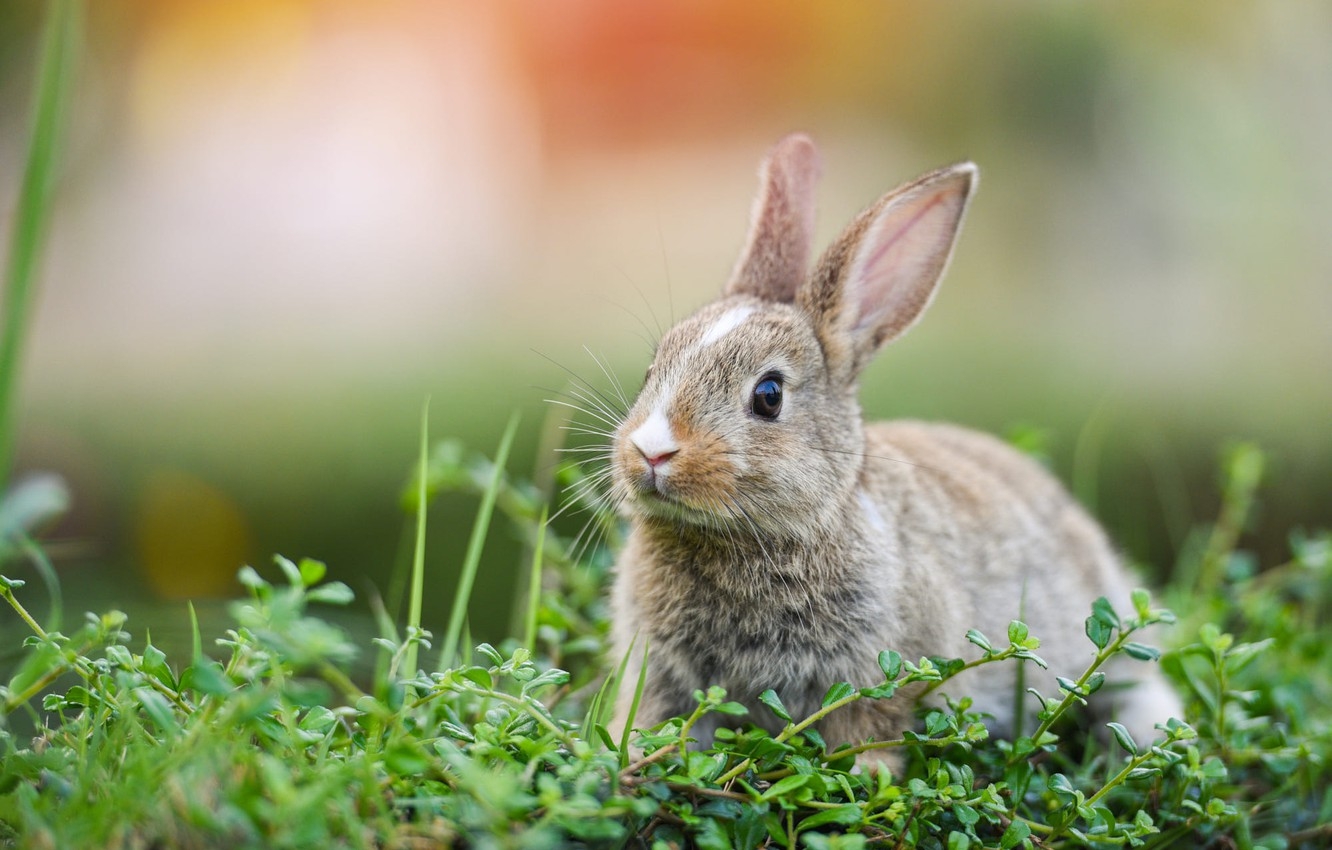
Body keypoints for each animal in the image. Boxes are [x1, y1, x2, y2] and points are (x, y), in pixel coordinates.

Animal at [604, 133, 1177, 772]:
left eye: (769, 395)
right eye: (653, 368)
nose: (652, 452)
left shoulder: (880, 675)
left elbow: (871, 731)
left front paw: (866, 776)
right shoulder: (664, 679)